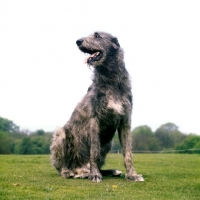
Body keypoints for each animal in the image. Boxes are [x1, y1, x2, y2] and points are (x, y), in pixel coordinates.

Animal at [50, 31, 144, 183]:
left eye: (97, 35)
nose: (78, 41)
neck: (110, 79)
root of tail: (80, 167)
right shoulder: (94, 119)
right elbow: (94, 151)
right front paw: (95, 175)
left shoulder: (125, 120)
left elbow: (128, 152)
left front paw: (132, 175)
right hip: (61, 135)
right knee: (64, 166)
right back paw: (74, 172)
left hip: (108, 144)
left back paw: (106, 171)